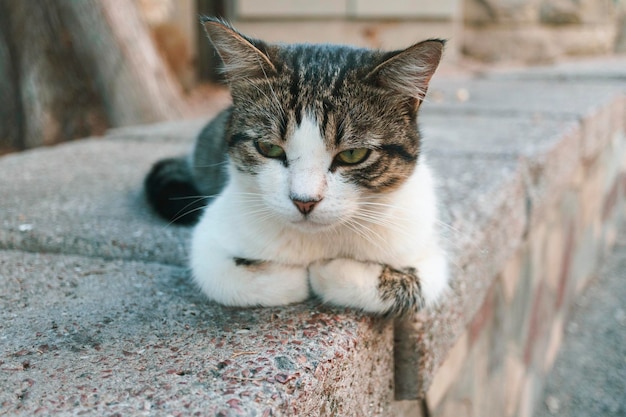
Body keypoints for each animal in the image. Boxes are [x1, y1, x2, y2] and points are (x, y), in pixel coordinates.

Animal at [145, 16, 448, 316]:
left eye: (353, 154)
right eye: (269, 148)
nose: (304, 201)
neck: (317, 241)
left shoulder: (425, 246)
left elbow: (411, 286)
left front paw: (328, 271)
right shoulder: (209, 239)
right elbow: (225, 278)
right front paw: (296, 277)